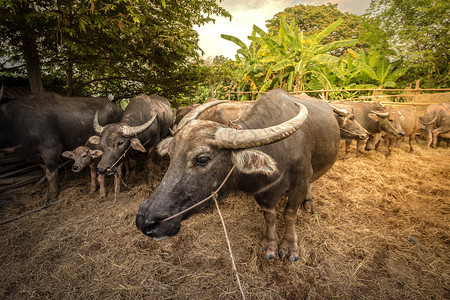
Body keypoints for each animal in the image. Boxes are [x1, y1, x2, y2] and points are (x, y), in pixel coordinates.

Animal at [135, 88, 340, 260]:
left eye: (202, 159)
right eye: (171, 154)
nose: (144, 221)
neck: (279, 151)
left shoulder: (300, 181)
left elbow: (289, 214)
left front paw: (290, 246)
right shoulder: (261, 192)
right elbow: (270, 215)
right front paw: (270, 245)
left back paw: (309, 203)